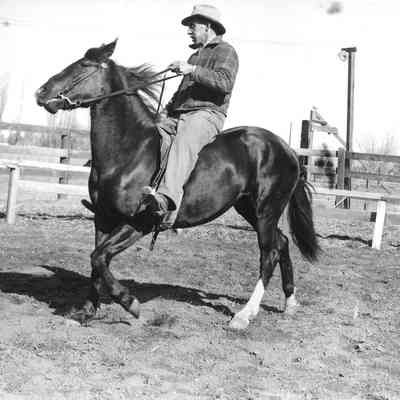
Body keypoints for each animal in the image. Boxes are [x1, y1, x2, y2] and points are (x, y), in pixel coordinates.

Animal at [35, 40, 319, 330]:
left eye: (84, 65)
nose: (42, 92)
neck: (130, 150)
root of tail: (285, 148)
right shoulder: (102, 218)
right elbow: (96, 261)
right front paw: (86, 312)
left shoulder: (140, 223)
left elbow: (100, 258)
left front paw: (130, 303)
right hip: (248, 208)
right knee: (282, 242)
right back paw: (290, 303)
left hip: (266, 210)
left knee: (269, 253)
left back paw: (244, 315)